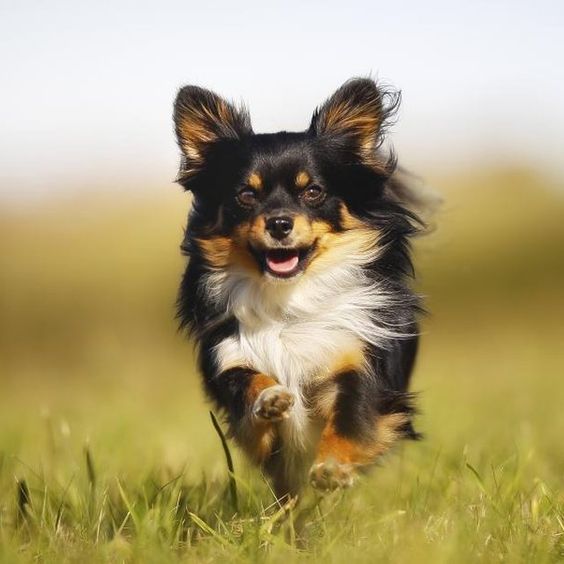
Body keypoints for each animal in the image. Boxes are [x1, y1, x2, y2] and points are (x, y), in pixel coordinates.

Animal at [172, 77, 428, 496]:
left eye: (313, 192)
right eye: (246, 195)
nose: (279, 223)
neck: (289, 301)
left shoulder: (358, 364)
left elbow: (352, 418)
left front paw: (332, 467)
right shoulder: (230, 358)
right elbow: (249, 388)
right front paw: (270, 398)